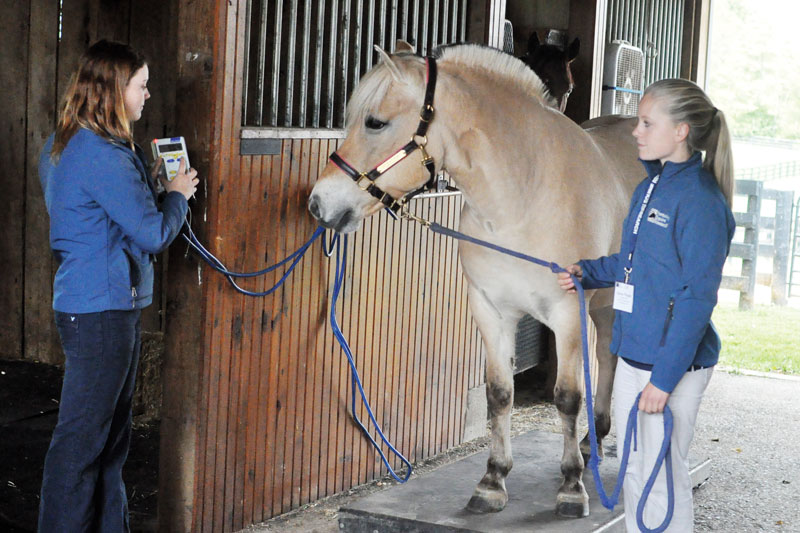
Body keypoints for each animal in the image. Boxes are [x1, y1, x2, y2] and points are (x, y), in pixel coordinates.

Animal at [310, 43, 640, 516]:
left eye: (375, 122)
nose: (319, 203)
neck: (524, 195)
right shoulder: (490, 309)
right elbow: (499, 393)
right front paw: (492, 481)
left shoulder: (566, 313)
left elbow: (566, 396)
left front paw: (571, 487)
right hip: (607, 303)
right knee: (609, 356)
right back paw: (591, 443)